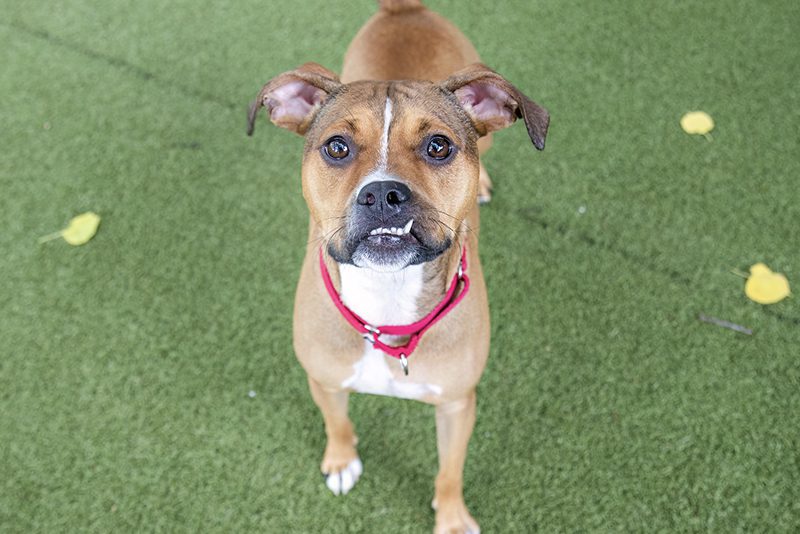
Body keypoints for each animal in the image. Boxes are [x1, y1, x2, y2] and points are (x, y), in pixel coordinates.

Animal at [250, 2, 552, 532]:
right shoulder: (324, 380)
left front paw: (452, 518)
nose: (384, 193)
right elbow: (338, 423)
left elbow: (449, 472)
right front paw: (340, 460)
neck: (387, 296)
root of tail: (405, 8)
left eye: (438, 146)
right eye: (336, 147)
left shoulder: (457, 404)